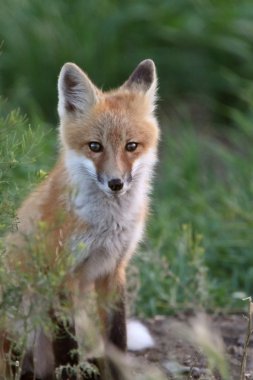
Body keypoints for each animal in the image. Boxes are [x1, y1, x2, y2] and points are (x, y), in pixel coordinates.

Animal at [1, 58, 159, 378]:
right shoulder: (60, 275)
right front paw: (70, 370)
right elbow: (65, 347)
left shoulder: (114, 269)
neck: (107, 226)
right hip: (22, 319)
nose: (115, 183)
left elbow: (117, 340)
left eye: (131, 146)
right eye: (95, 146)